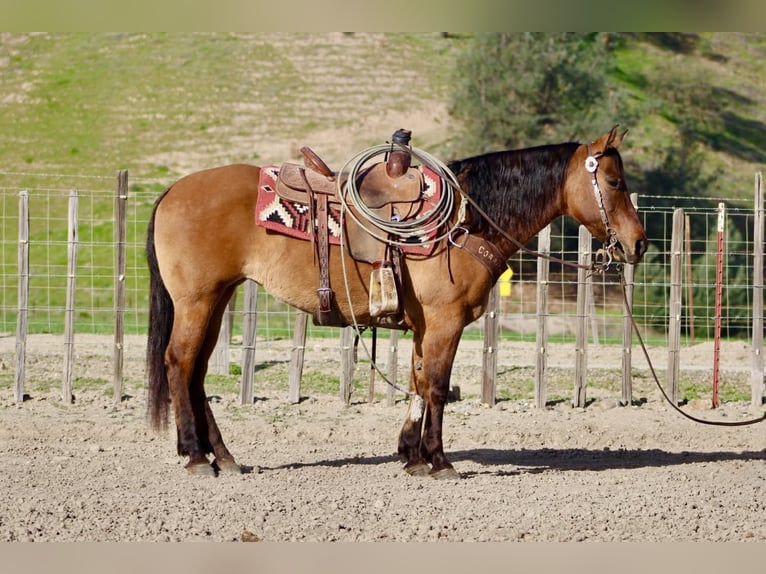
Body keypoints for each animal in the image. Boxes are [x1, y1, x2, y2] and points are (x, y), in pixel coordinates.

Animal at [145, 126, 647, 479]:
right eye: (614, 181)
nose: (639, 244)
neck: (467, 220)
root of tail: (172, 191)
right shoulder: (446, 322)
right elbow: (437, 387)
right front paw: (439, 461)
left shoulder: (427, 328)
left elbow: (417, 382)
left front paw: (412, 455)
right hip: (197, 301)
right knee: (179, 362)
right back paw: (196, 457)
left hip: (216, 299)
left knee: (196, 371)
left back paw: (223, 457)